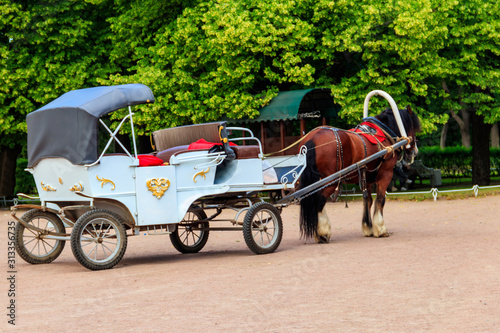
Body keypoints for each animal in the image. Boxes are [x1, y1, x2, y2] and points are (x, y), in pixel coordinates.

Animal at [298, 107, 420, 243]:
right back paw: (323, 232)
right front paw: (380, 229)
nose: (414, 151)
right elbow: (380, 200)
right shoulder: (385, 175)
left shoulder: (367, 178)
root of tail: (313, 138)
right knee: (319, 200)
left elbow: (367, 200)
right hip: (331, 181)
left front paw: (368, 227)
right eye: (414, 128)